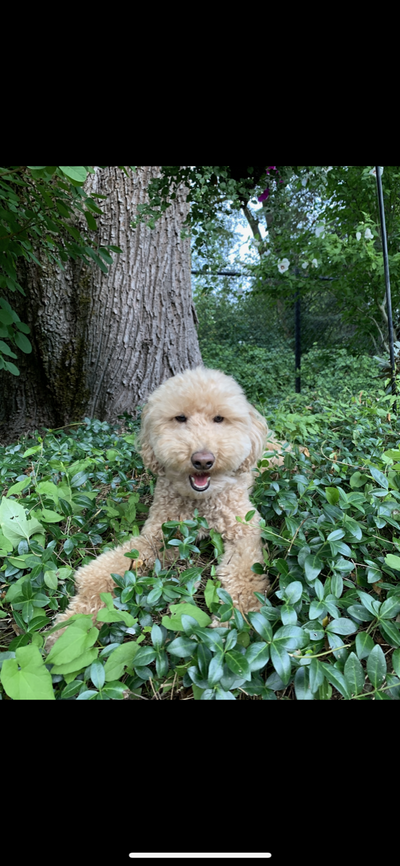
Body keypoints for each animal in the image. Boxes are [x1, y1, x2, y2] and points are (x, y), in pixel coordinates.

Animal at [45, 366, 282, 648]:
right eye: (180, 418)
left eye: (219, 419)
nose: (203, 460)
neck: (200, 502)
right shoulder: (158, 535)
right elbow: (106, 569)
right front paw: (70, 626)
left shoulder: (244, 530)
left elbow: (245, 577)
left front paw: (236, 622)